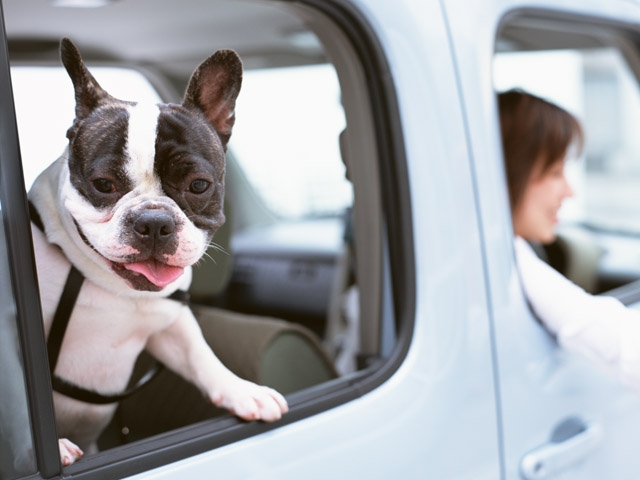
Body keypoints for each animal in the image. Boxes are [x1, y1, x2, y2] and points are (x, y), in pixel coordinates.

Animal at [28, 39, 288, 466]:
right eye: (103, 184)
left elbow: (200, 354)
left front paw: (241, 390)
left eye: (198, 185)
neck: (114, 290)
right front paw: (57, 444)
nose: (153, 222)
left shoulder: (171, 323)